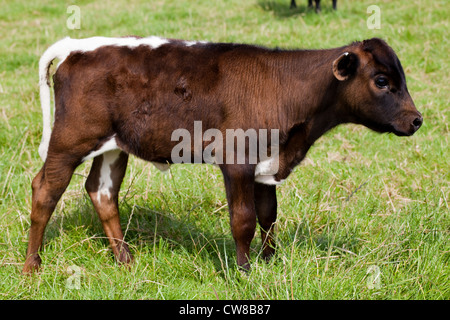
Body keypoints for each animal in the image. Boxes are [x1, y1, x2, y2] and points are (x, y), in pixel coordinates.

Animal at [22, 37, 422, 272]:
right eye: (382, 81)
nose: (416, 119)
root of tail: (76, 45)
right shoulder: (237, 158)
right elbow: (243, 219)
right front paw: (244, 271)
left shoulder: (267, 162)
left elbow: (268, 215)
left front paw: (269, 261)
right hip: (70, 138)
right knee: (44, 190)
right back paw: (32, 266)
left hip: (113, 146)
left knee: (102, 193)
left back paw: (125, 260)